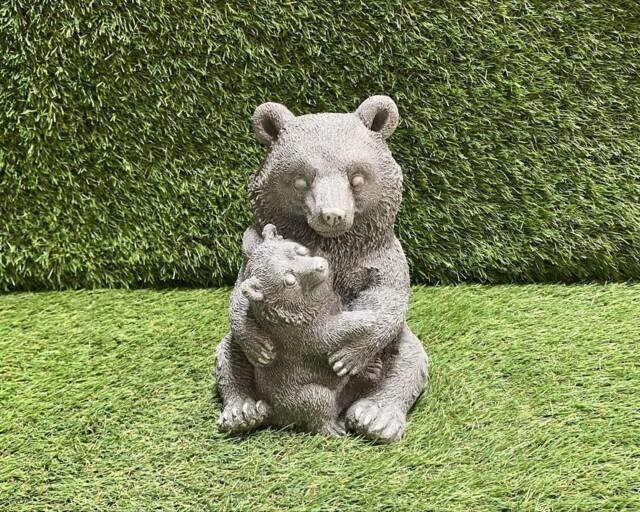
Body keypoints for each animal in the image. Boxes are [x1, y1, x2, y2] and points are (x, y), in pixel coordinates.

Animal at [218, 223, 379, 436]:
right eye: (289, 280)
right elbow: (328, 333)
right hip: (303, 396)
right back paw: (334, 428)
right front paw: (367, 318)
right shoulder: (300, 335)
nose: (320, 266)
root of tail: (274, 412)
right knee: (318, 404)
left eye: (299, 250)